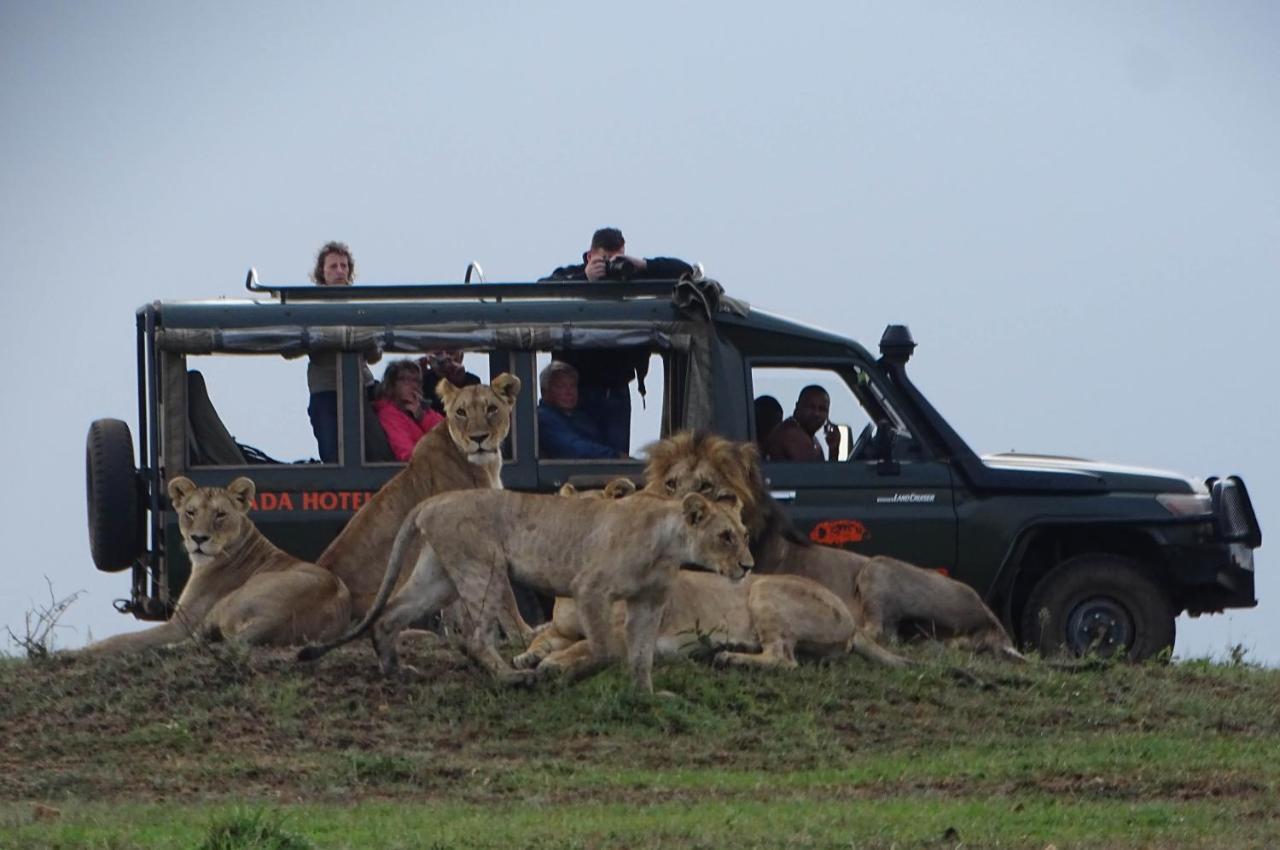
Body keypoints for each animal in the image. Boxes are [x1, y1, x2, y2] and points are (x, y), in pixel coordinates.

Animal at [80, 473, 353, 652]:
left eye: (220, 515)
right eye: (190, 512)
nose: (199, 538)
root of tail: (276, 618)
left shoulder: (180, 624)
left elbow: (123, 640)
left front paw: (86, 649)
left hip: (224, 605)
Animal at [300, 489, 752, 696]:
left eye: (745, 534)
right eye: (725, 536)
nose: (748, 566)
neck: (669, 544)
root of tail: (434, 499)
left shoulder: (648, 601)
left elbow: (640, 655)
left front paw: (648, 695)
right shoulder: (590, 588)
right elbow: (607, 650)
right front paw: (561, 675)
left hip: (439, 576)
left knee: (390, 616)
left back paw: (396, 670)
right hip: (485, 568)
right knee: (475, 637)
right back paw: (512, 677)